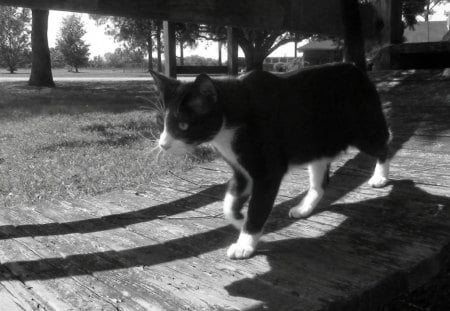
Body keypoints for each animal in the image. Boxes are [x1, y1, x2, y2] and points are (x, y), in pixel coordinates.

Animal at [150, 62, 390, 260]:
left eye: (183, 125)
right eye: (163, 123)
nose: (163, 144)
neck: (231, 121)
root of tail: (356, 69)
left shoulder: (268, 171)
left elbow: (258, 206)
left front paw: (245, 243)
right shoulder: (241, 168)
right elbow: (229, 202)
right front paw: (240, 219)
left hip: (363, 128)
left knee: (384, 142)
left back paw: (380, 177)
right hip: (315, 142)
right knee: (320, 179)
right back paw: (304, 207)